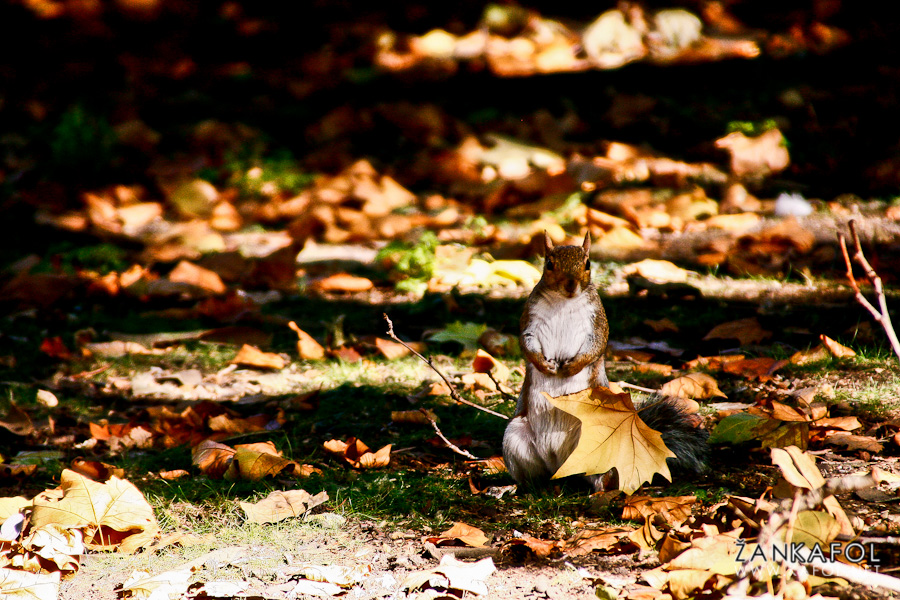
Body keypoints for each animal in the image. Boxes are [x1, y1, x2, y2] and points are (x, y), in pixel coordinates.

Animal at [502, 232, 708, 491]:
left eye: (587, 264)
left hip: (604, 446)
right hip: (515, 438)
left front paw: (571, 366)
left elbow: (596, 346)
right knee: (536, 476)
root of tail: (562, 466)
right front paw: (544, 364)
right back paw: (524, 486)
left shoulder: (597, 322)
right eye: (549, 264)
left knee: (604, 477)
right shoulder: (529, 321)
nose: (570, 285)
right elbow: (527, 344)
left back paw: (602, 490)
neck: (563, 301)